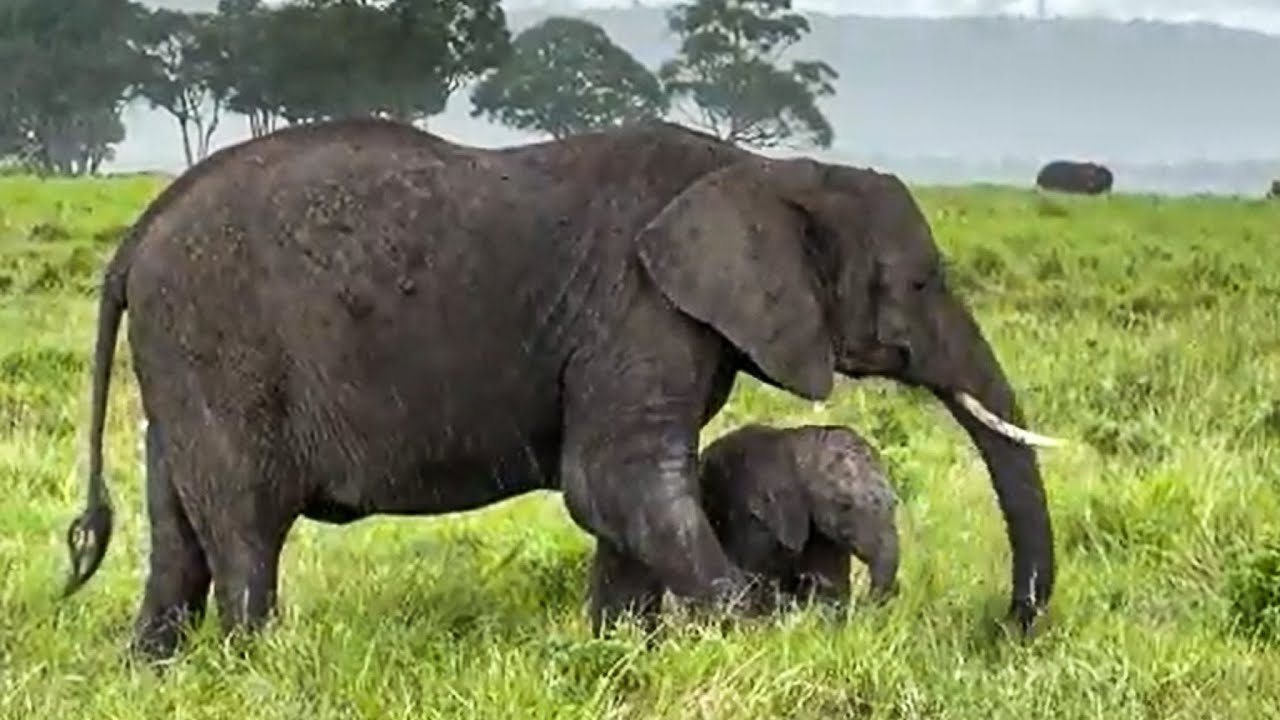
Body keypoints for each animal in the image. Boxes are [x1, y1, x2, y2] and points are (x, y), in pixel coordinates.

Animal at [591, 422, 900, 631]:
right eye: (844, 504)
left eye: (895, 503)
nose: (871, 606)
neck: (801, 448)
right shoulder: (755, 513)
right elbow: (757, 581)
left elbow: (828, 585)